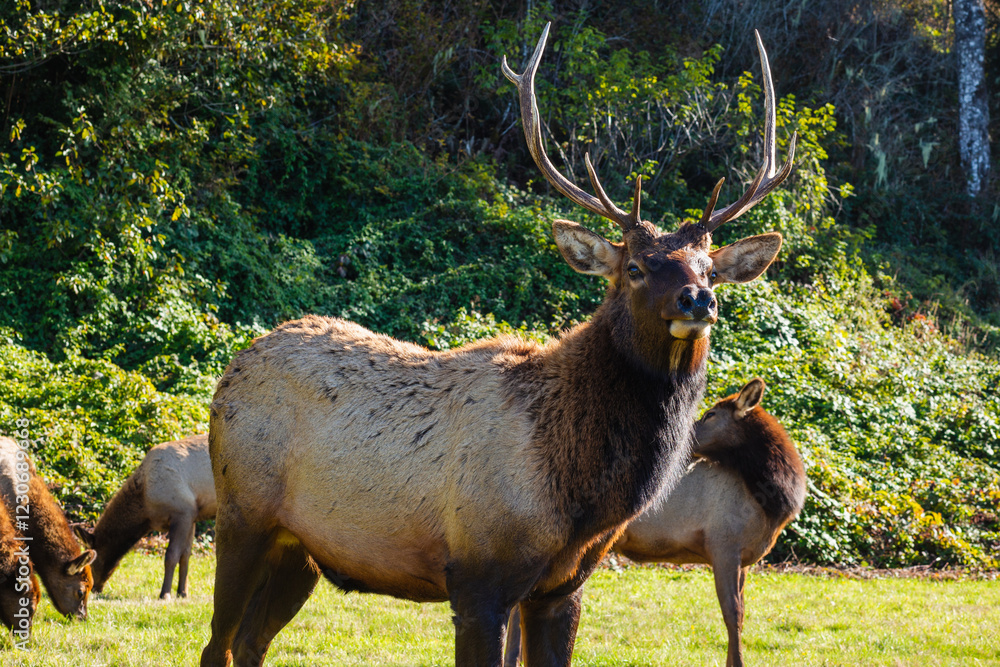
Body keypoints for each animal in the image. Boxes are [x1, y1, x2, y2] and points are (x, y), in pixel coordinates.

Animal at [73, 434, 216, 600]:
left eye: (89, 564)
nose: (93, 588)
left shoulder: (182, 512)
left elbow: (171, 555)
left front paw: (165, 594)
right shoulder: (193, 516)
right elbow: (185, 555)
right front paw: (182, 593)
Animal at [503, 379, 807, 667]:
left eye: (710, 414)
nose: (682, 443)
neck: (772, 502)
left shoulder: (742, 560)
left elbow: (740, 617)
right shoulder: (723, 545)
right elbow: (732, 614)